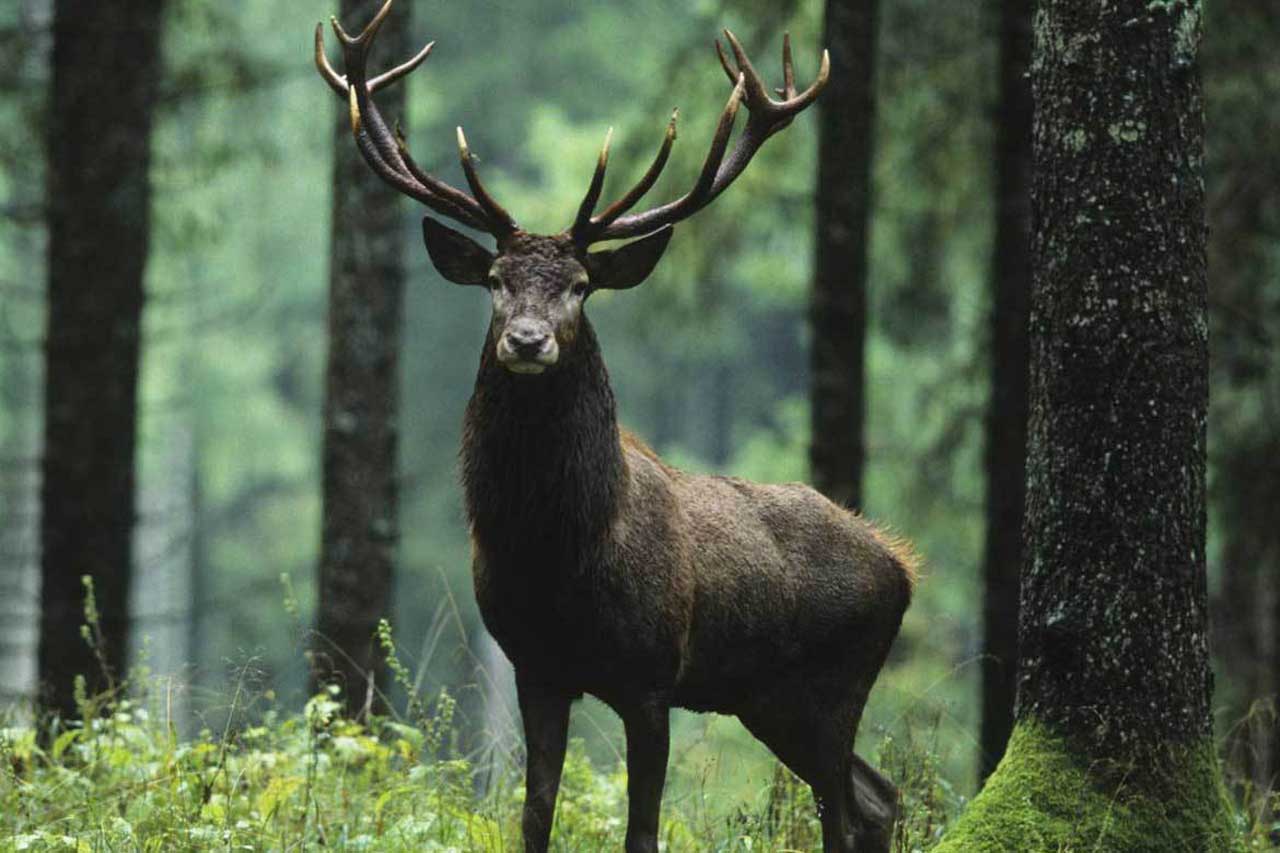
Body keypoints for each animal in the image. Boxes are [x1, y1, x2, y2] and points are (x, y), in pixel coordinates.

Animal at [316, 3, 916, 851]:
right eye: (495, 280)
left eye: (580, 285)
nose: (526, 339)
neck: (561, 553)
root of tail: (902, 565)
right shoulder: (536, 666)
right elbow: (533, 815)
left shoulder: (650, 676)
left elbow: (642, 829)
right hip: (768, 697)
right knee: (877, 795)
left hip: (835, 681)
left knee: (842, 804)